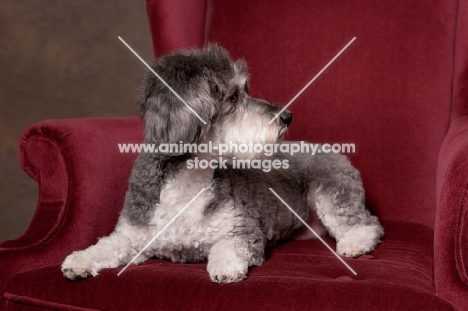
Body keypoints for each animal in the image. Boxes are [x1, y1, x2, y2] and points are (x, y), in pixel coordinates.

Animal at [61, 44, 384, 286]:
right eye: (233, 96)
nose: (287, 116)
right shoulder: (134, 234)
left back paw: (355, 243)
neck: (189, 179)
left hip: (332, 193)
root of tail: (333, 151)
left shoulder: (242, 229)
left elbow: (227, 247)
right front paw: (79, 260)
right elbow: (108, 244)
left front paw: (225, 267)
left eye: (246, 90)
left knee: (367, 224)